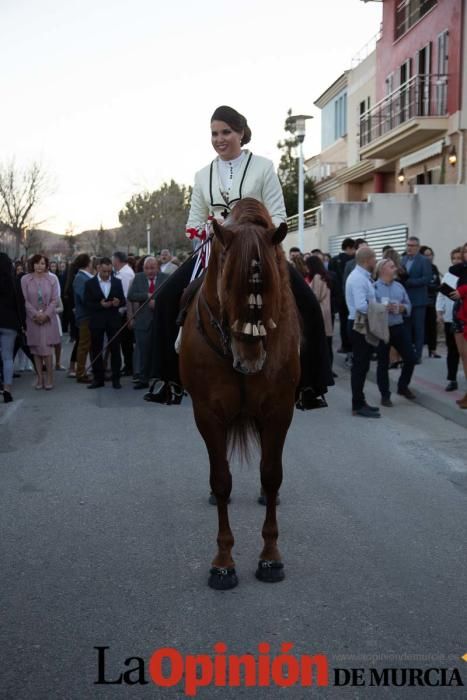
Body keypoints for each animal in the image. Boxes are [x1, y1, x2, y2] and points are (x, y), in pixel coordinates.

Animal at [179, 198, 300, 592]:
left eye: (273, 284)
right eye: (227, 282)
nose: (250, 361)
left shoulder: (279, 411)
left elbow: (272, 474)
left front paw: (270, 557)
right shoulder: (208, 414)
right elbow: (220, 480)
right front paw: (223, 563)